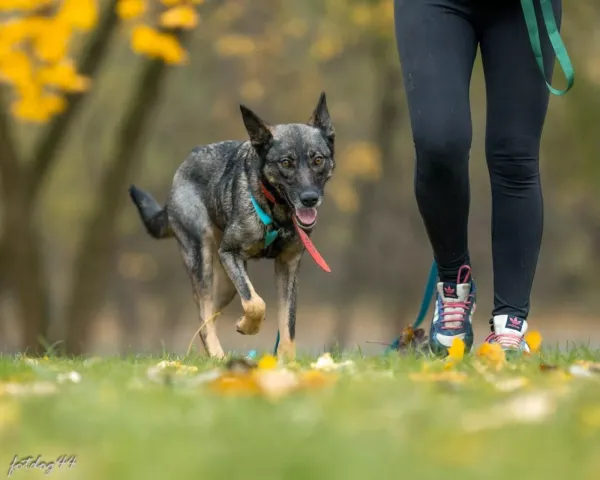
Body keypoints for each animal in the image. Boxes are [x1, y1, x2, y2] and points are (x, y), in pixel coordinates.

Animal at [129, 92, 336, 358]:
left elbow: (288, 325)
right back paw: (218, 355)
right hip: (204, 260)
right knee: (204, 313)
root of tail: (183, 167)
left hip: (226, 283)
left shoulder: (288, 266)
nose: (310, 198)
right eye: (286, 163)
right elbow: (255, 302)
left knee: (206, 317)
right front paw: (248, 326)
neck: (276, 213)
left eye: (318, 160)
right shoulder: (230, 253)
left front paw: (287, 361)